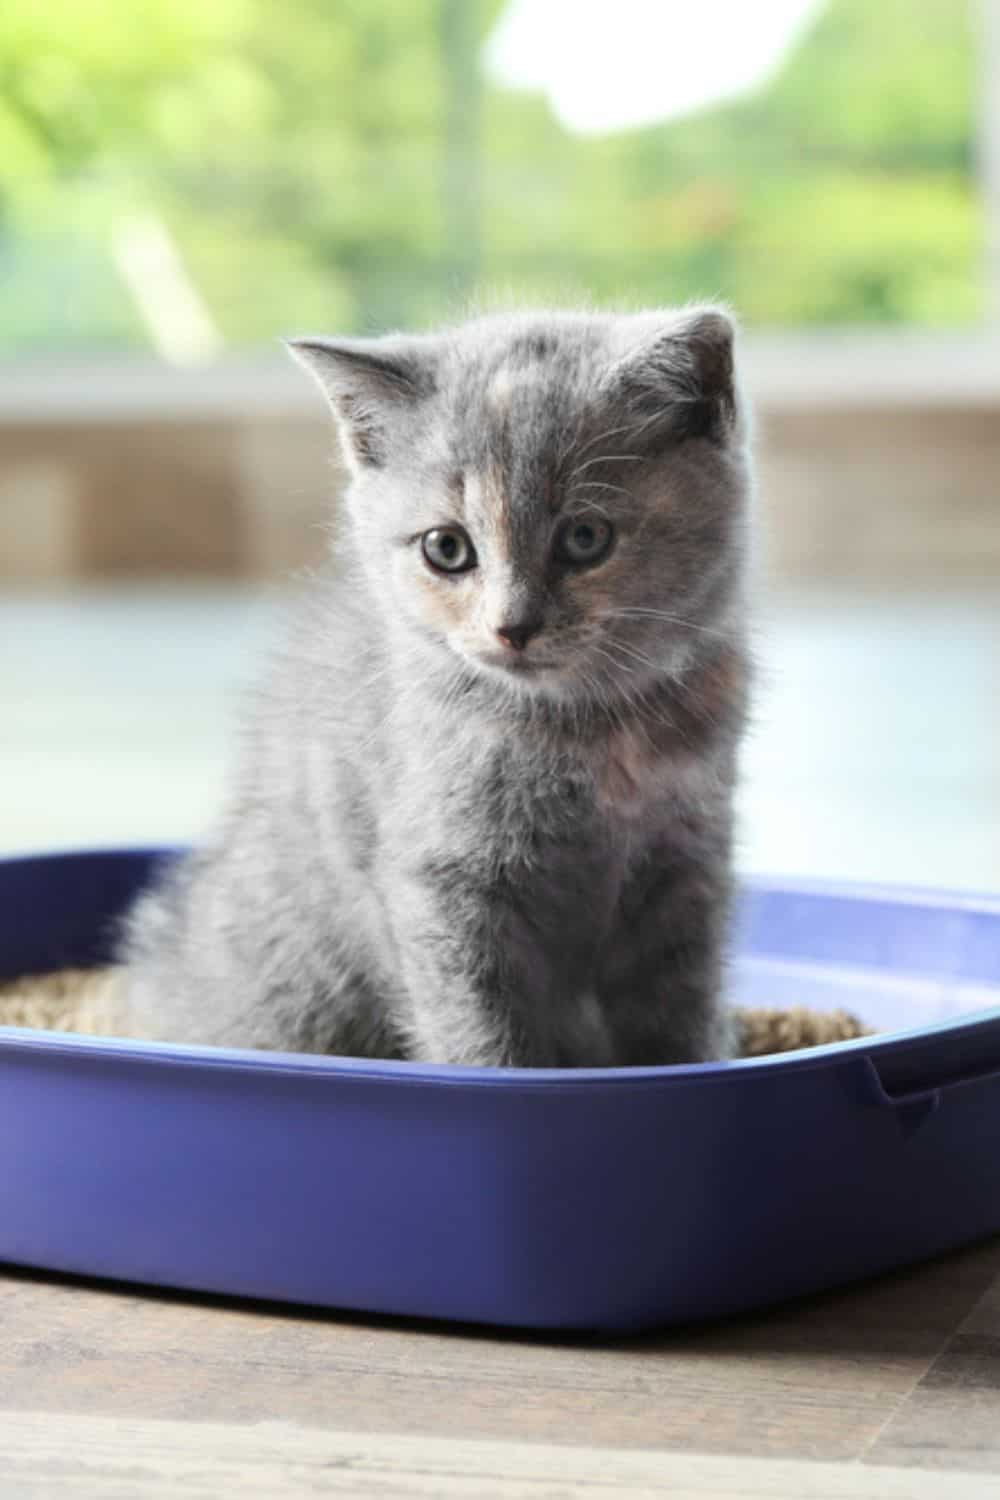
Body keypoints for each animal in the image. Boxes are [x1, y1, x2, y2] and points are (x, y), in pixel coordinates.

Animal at [121, 304, 755, 1068]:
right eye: (446, 548)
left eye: (585, 537)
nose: (513, 626)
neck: (587, 733)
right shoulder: (444, 884)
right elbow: (480, 1024)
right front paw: (504, 1077)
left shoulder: (685, 865)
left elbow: (679, 1011)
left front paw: (690, 1065)